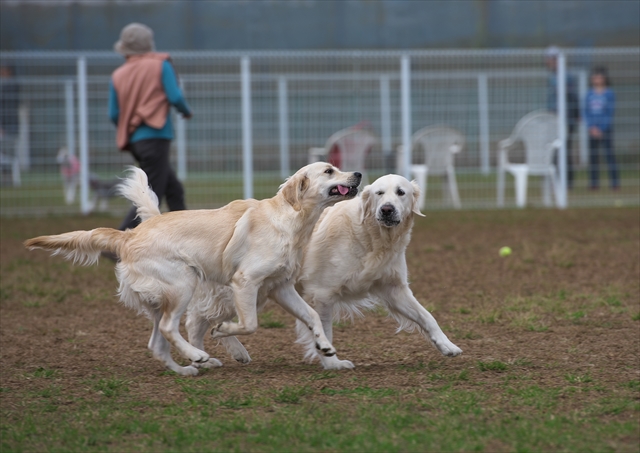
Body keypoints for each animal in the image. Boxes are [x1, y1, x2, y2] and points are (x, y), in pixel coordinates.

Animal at [25, 162, 362, 374]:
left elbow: (313, 316)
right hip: (182, 284)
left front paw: (326, 348)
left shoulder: (280, 288)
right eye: (329, 170)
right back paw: (197, 355)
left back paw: (187, 369)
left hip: (164, 298)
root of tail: (129, 235)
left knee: (157, 343)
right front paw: (224, 331)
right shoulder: (246, 282)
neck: (291, 220)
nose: (358, 174)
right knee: (169, 328)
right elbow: (249, 323)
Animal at [185, 173, 460, 368]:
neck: (370, 238)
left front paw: (447, 346)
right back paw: (206, 355)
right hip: (240, 290)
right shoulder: (323, 294)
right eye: (380, 193)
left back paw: (228, 352)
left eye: (401, 193)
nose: (387, 209)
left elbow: (427, 317)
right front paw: (332, 362)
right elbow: (325, 330)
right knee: (198, 320)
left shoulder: (395, 290)